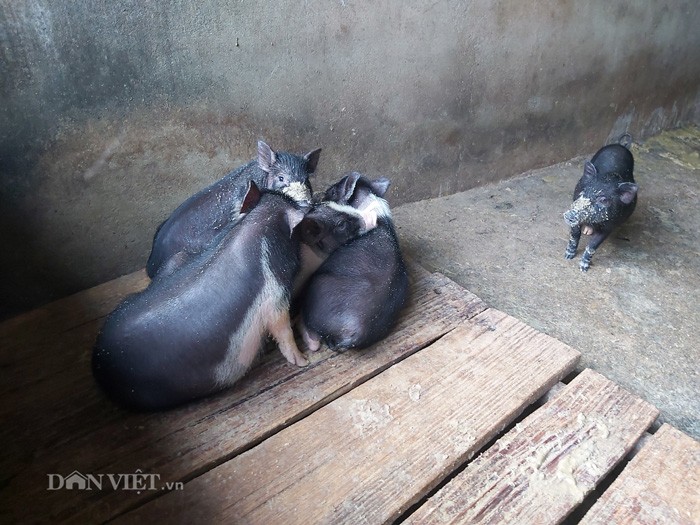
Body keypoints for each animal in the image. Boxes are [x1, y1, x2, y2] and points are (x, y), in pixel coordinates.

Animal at [91, 182, 364, 412]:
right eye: (340, 224)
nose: (362, 217)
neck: (258, 225)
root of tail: (99, 364)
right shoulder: (274, 293)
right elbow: (282, 327)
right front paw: (303, 361)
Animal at [568, 137, 636, 272]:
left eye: (603, 200)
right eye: (583, 192)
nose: (569, 215)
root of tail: (620, 145)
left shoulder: (609, 226)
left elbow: (593, 246)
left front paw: (583, 268)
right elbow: (575, 234)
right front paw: (568, 256)